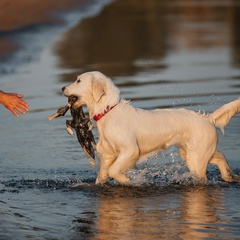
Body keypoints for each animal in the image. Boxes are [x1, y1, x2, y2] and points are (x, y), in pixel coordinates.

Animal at [62, 70, 240, 185]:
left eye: (78, 80)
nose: (62, 88)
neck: (108, 111)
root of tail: (208, 119)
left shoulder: (130, 150)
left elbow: (114, 170)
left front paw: (128, 181)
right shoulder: (107, 155)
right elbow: (103, 175)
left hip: (195, 159)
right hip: (192, 153)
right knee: (220, 156)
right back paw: (229, 176)